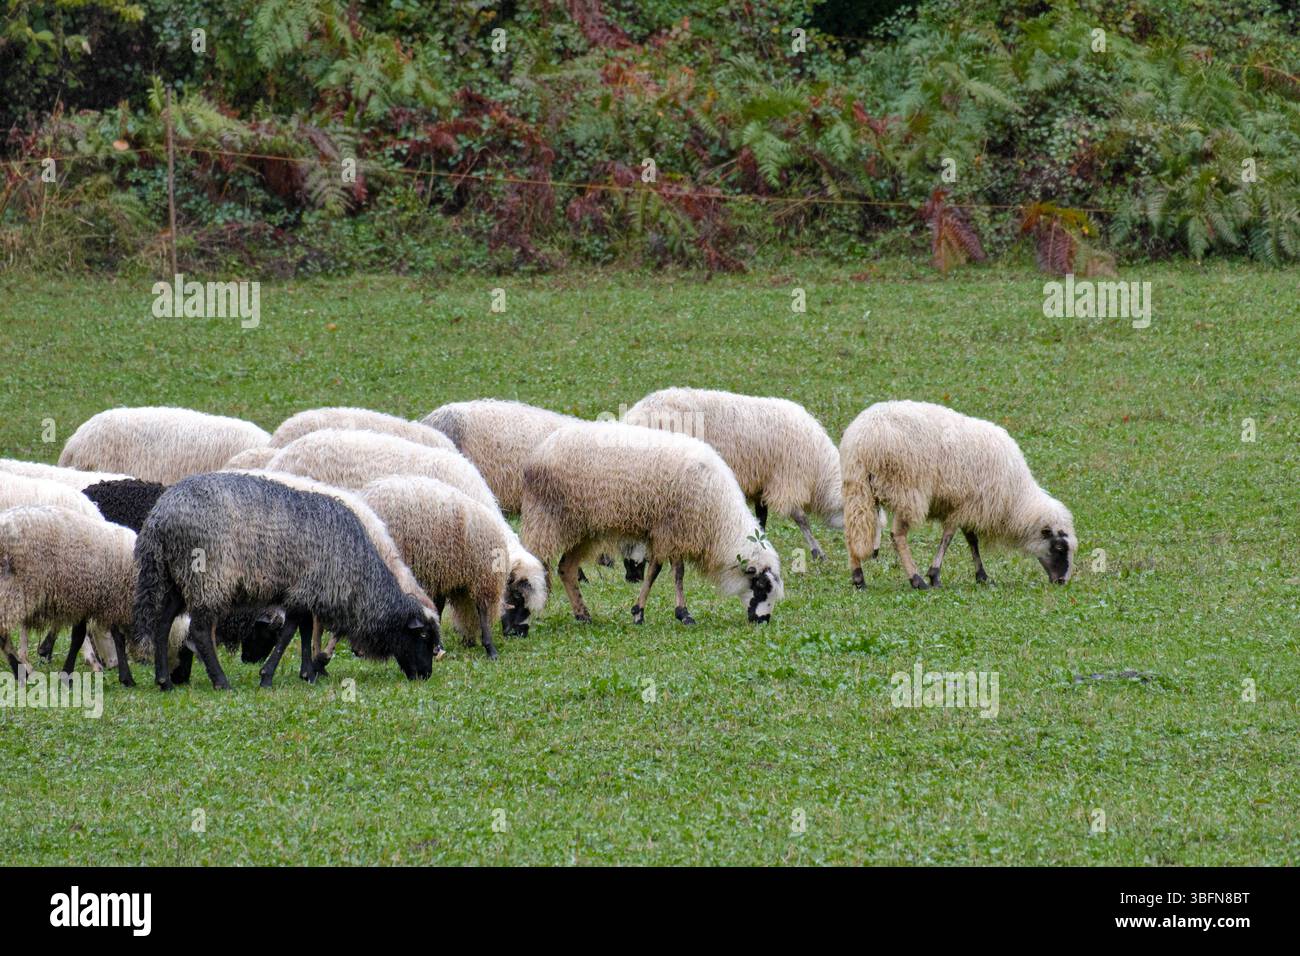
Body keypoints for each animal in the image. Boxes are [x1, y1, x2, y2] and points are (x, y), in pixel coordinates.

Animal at [133, 471, 441, 690]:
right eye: (423, 635)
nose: (426, 675)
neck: (361, 580)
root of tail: (159, 517)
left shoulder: (304, 591)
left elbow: (303, 629)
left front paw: (308, 673)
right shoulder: (305, 589)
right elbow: (290, 632)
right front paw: (268, 676)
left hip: (177, 578)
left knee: (162, 623)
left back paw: (164, 681)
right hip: (207, 577)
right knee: (198, 631)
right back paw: (221, 682)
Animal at [359, 477, 512, 659]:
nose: (514, 633)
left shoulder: (445, 576)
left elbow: (439, 607)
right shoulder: (479, 574)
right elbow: (482, 610)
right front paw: (489, 647)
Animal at [521, 421, 784, 625]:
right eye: (761, 586)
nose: (763, 621)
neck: (719, 518)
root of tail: (541, 449)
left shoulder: (673, 531)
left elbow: (665, 571)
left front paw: (651, 611)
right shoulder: (670, 528)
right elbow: (665, 572)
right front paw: (671, 613)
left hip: (584, 529)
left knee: (566, 568)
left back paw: (583, 615)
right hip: (548, 517)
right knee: (537, 561)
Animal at [625, 387, 845, 560]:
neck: (820, 472)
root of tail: (634, 413)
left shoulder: (761, 484)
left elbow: (762, 518)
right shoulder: (788, 479)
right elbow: (801, 518)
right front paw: (818, 552)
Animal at [839, 400, 1077, 590]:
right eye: (1059, 547)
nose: (1061, 581)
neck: (1016, 498)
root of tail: (865, 437)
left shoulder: (967, 505)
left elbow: (970, 539)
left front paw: (982, 576)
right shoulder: (965, 503)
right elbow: (951, 537)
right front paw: (934, 575)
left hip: (857, 487)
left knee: (852, 531)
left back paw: (859, 578)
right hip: (907, 489)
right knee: (897, 536)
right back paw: (916, 579)